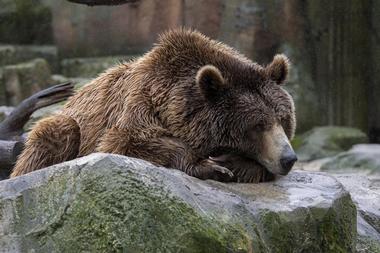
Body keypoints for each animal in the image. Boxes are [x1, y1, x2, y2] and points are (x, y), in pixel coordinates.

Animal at [11, 28, 296, 183]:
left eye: (283, 119)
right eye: (257, 124)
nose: (289, 158)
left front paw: (234, 163)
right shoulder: (141, 100)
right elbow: (127, 141)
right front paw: (213, 166)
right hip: (67, 125)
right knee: (55, 135)